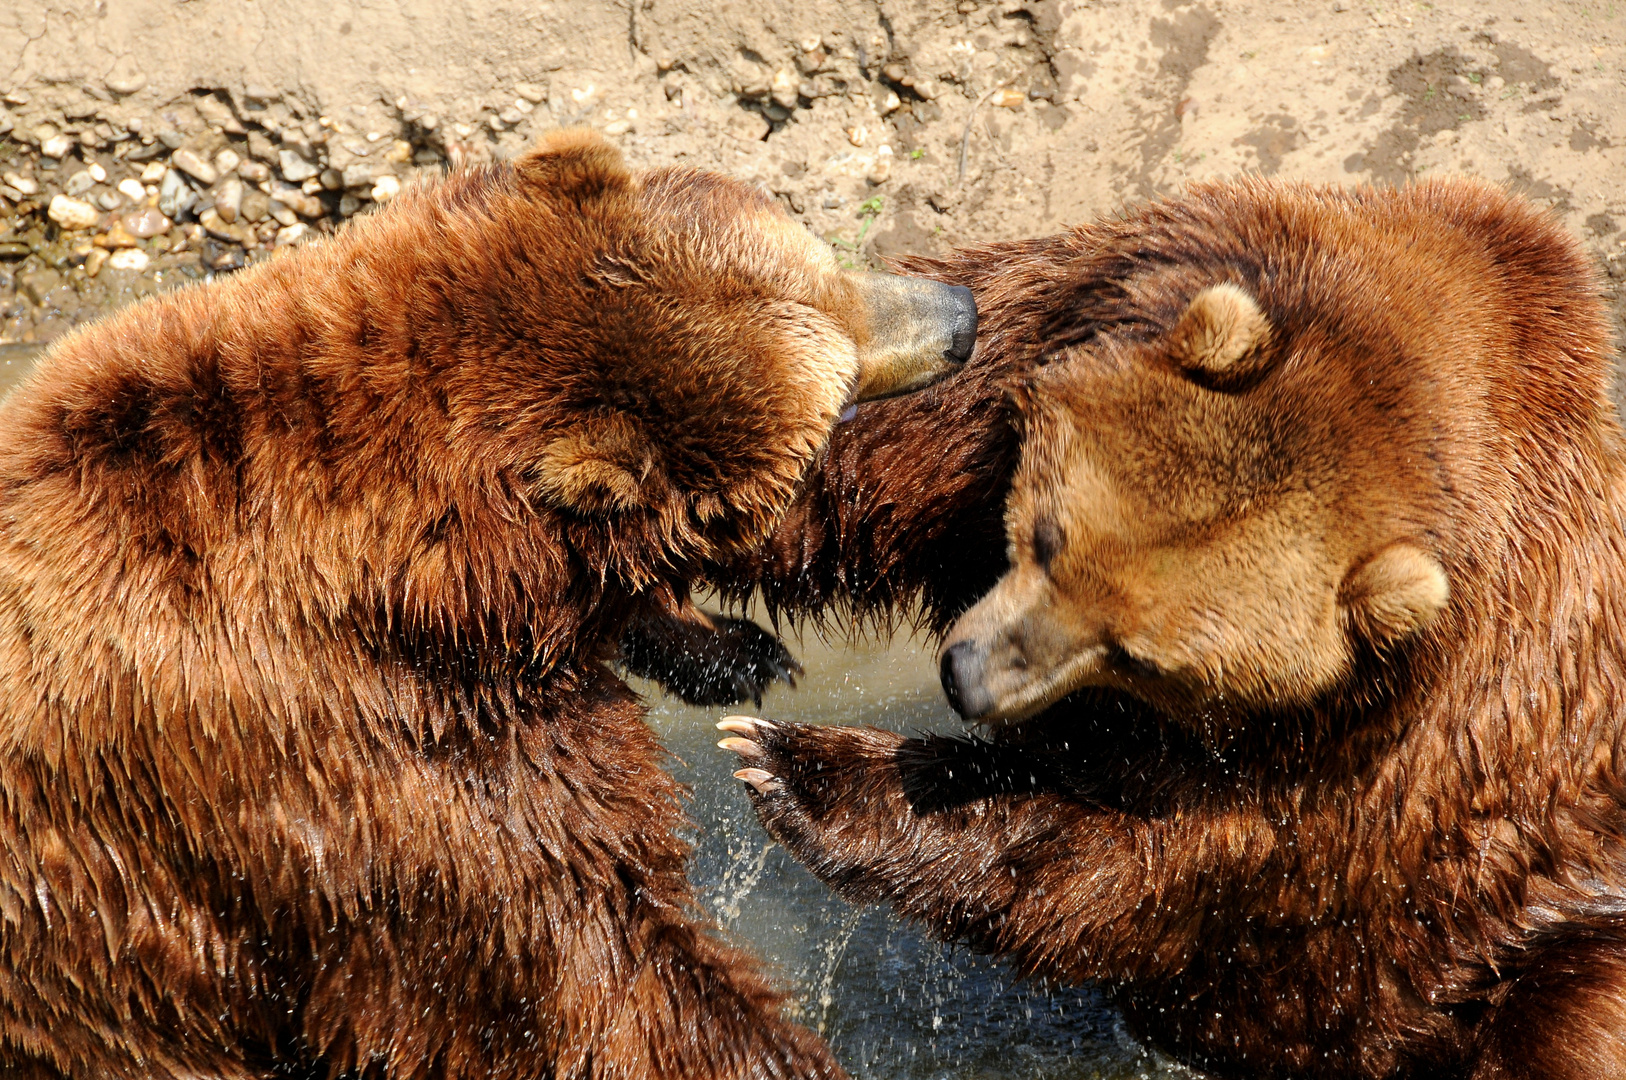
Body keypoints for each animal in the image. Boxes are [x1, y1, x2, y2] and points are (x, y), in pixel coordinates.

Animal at [0, 128, 969, 1080]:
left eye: (819, 257)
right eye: (837, 378)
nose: (958, 313)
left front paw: (737, 650)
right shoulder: (348, 763)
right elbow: (582, 956)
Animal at [718, 178, 1626, 1080]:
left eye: (1140, 658)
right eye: (1048, 537)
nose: (964, 677)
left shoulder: (1362, 763)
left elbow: (1133, 864)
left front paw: (797, 764)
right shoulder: (1039, 350)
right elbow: (872, 449)